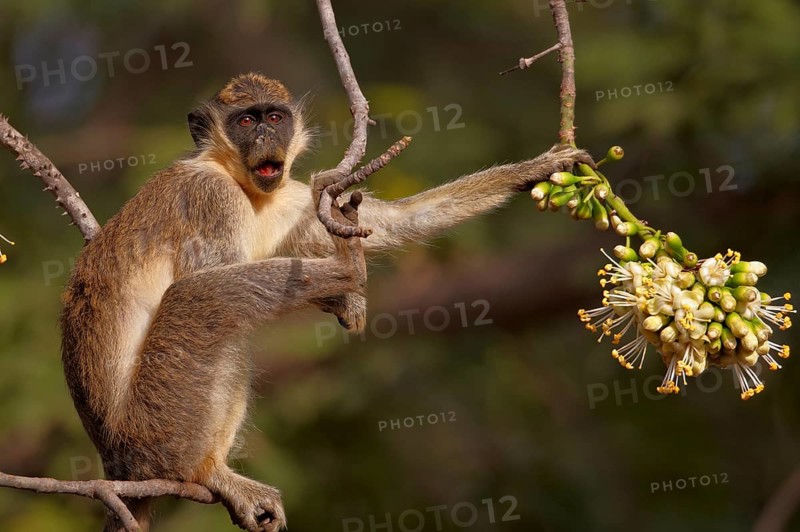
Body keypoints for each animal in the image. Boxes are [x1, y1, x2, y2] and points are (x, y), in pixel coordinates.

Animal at [60, 72, 593, 532]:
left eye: (274, 118)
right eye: (245, 122)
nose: (266, 139)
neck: (238, 180)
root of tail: (117, 464)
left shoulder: (291, 197)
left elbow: (396, 221)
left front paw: (536, 168)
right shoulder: (209, 198)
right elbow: (207, 278)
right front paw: (340, 288)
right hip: (154, 428)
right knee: (203, 303)